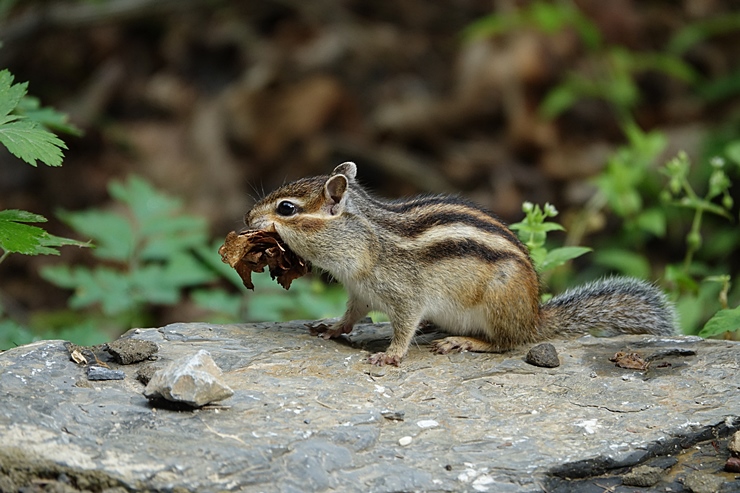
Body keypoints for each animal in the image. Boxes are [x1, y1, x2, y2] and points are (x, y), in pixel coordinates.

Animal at [245, 162, 678, 366]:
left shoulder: (405, 294)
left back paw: (464, 341)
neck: (366, 240)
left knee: (507, 343)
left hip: (499, 301)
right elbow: (352, 316)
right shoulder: (361, 291)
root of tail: (534, 316)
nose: (248, 217)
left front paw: (391, 354)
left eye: (286, 209)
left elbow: (404, 325)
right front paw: (332, 328)